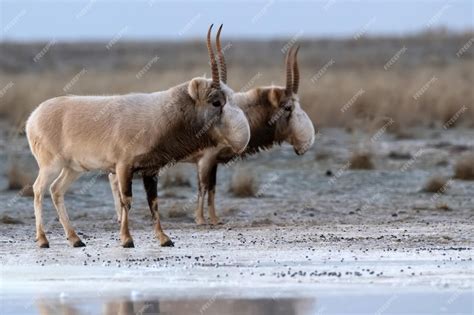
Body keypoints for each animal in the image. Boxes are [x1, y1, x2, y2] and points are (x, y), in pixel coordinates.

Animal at [25, 24, 252, 248]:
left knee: (56, 190)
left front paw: (164, 238)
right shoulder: (123, 167)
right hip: (51, 165)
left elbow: (154, 202)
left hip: (73, 168)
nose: (242, 139)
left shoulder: (151, 171)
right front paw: (127, 239)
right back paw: (43, 240)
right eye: (216, 102)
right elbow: (127, 200)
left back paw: (75, 239)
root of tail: (33, 117)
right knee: (38, 189)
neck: (162, 113)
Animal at [109, 26, 314, 225]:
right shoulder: (206, 159)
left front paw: (215, 219)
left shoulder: (214, 161)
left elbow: (213, 189)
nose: (304, 143)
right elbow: (203, 187)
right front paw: (200, 220)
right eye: (288, 107)